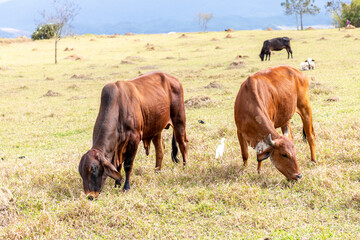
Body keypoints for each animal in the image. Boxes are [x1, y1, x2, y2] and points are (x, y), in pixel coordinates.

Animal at [79, 72, 188, 200]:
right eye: (81, 173)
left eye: (93, 169)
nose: (90, 196)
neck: (117, 107)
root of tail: (174, 79)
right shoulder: (117, 147)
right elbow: (118, 166)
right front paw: (117, 184)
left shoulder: (134, 139)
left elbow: (127, 165)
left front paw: (126, 187)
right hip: (156, 128)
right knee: (160, 150)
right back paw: (157, 171)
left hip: (179, 121)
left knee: (183, 144)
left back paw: (185, 167)